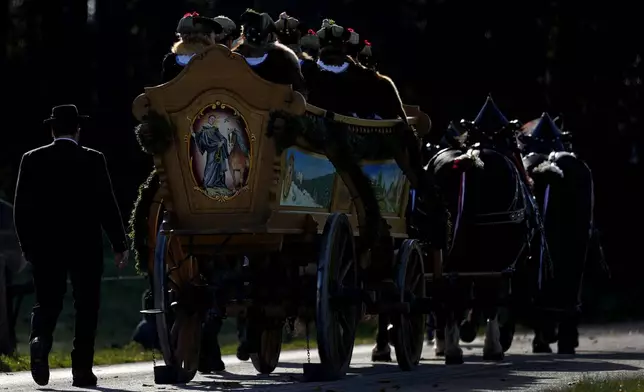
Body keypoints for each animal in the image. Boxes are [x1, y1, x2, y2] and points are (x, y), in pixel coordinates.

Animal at [426, 96, 544, 366]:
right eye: (515, 144)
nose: (531, 183)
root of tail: (470, 159)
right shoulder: (508, 263)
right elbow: (498, 299)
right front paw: (496, 340)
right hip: (491, 254)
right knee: (480, 296)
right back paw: (480, 348)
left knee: (448, 293)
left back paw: (450, 346)